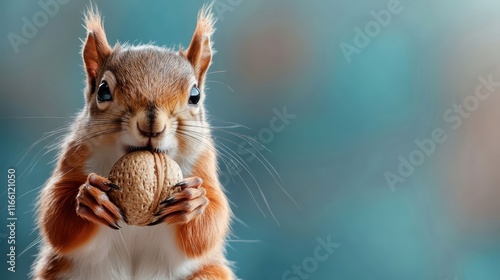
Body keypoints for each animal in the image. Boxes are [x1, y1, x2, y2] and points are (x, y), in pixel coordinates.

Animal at [32, 4, 234, 280]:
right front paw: (90, 199)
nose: (152, 125)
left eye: (195, 95)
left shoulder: (203, 162)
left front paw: (193, 202)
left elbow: (210, 224)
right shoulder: (76, 154)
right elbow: (56, 217)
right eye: (103, 90)